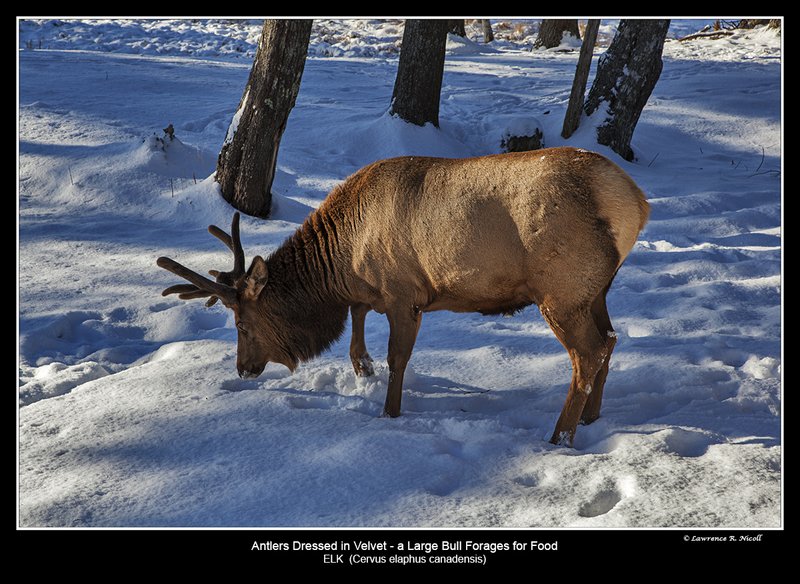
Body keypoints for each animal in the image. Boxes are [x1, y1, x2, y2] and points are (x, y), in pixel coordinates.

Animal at [157, 147, 649, 446]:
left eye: (242, 323)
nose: (243, 370)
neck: (345, 259)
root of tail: (635, 202)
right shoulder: (374, 292)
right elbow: (358, 317)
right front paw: (362, 366)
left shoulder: (403, 294)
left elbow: (398, 358)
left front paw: (389, 414)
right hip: (596, 288)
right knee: (610, 340)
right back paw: (591, 418)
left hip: (562, 289)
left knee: (587, 353)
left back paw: (560, 435)